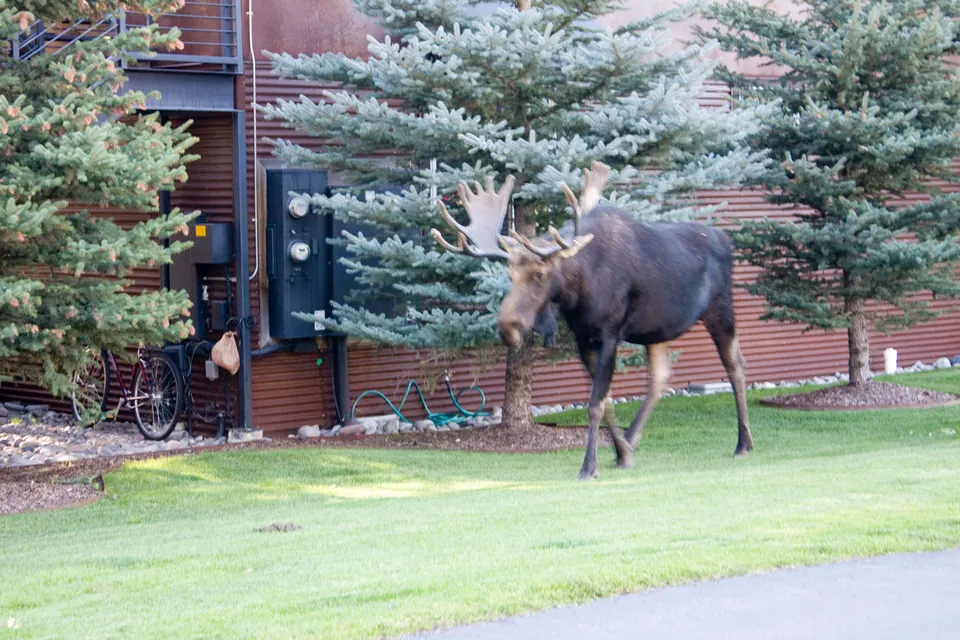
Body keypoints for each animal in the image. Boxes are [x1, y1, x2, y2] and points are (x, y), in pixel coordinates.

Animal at [431, 162, 754, 480]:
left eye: (540, 274)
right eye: (510, 275)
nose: (507, 328)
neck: (579, 292)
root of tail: (726, 239)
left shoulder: (609, 334)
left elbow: (595, 405)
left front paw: (589, 466)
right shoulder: (584, 338)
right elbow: (606, 400)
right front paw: (622, 453)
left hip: (721, 310)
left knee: (735, 367)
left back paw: (743, 444)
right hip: (656, 330)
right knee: (660, 377)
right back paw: (632, 439)